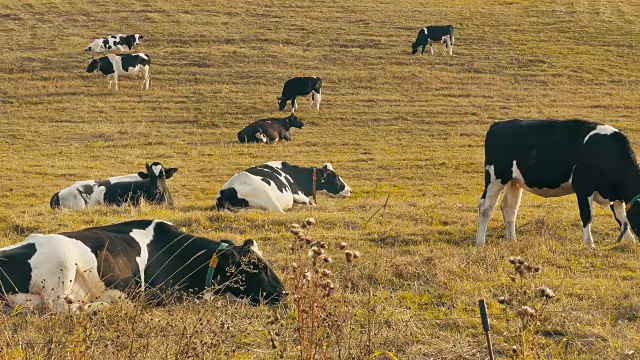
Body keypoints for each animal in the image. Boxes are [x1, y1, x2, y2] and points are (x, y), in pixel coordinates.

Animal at [218, 161, 352, 214]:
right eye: (336, 177)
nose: (350, 190)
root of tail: (227, 189)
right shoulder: (298, 194)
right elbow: (313, 204)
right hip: (269, 198)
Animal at [476, 119, 640, 248]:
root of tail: (498, 124)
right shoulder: (583, 187)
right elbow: (587, 215)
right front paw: (589, 244)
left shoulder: (616, 195)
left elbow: (622, 218)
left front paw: (630, 241)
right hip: (496, 177)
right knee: (485, 207)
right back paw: (480, 242)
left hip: (514, 182)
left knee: (509, 208)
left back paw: (512, 240)